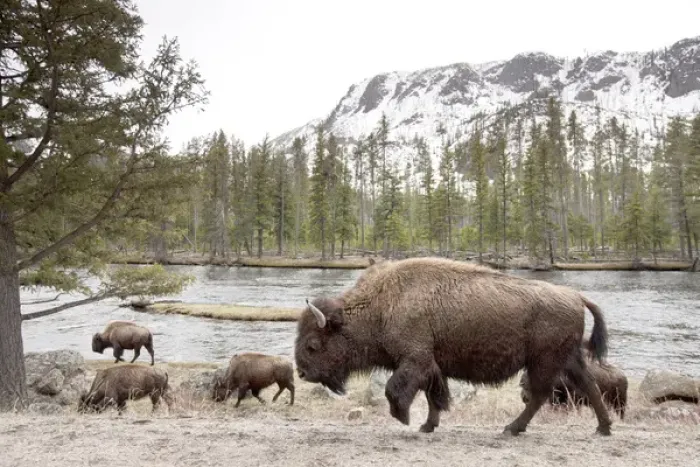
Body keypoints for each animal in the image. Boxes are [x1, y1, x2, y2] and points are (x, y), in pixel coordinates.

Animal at [294, 257, 613, 436]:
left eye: (313, 345)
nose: (301, 373)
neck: (381, 305)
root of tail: (576, 296)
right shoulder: (432, 366)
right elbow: (434, 396)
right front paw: (427, 426)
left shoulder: (415, 360)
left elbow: (396, 389)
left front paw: (403, 417)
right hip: (568, 359)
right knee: (589, 386)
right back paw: (603, 428)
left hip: (544, 362)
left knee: (539, 395)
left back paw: (511, 429)